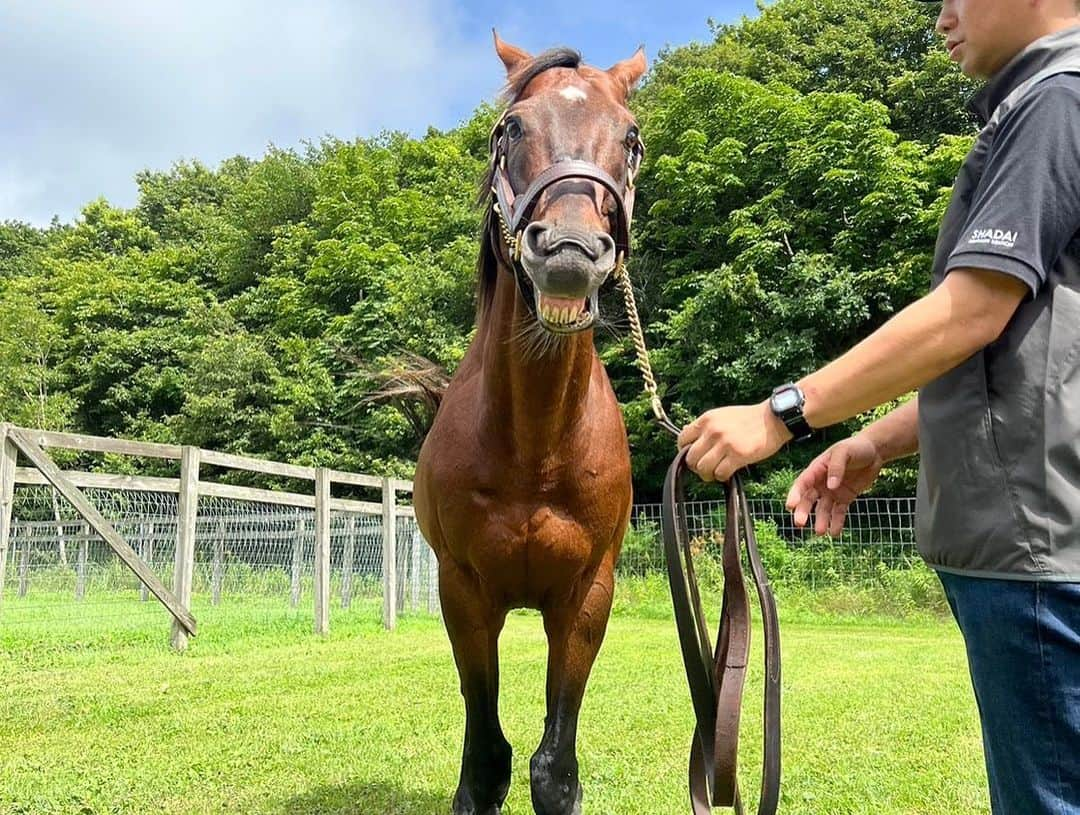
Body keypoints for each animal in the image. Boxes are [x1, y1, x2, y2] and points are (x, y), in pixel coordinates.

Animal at [412, 33, 643, 815]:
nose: (569, 251)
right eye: (509, 129)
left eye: (631, 139)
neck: (534, 447)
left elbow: (553, 768)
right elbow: (486, 761)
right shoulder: (463, 592)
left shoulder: (585, 595)